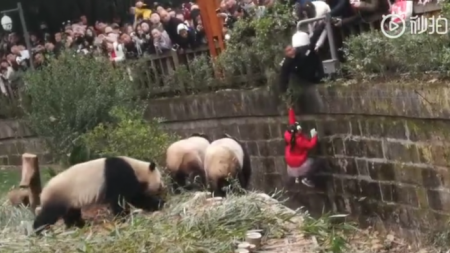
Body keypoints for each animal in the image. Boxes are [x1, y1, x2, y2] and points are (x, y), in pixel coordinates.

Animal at [32, 156, 165, 235]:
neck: (136, 167)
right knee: (49, 215)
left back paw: (79, 226)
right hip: (60, 195)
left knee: (71, 214)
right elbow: (129, 198)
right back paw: (39, 231)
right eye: (160, 180)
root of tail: (43, 191)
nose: (163, 188)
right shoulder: (120, 175)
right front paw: (123, 218)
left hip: (70, 199)